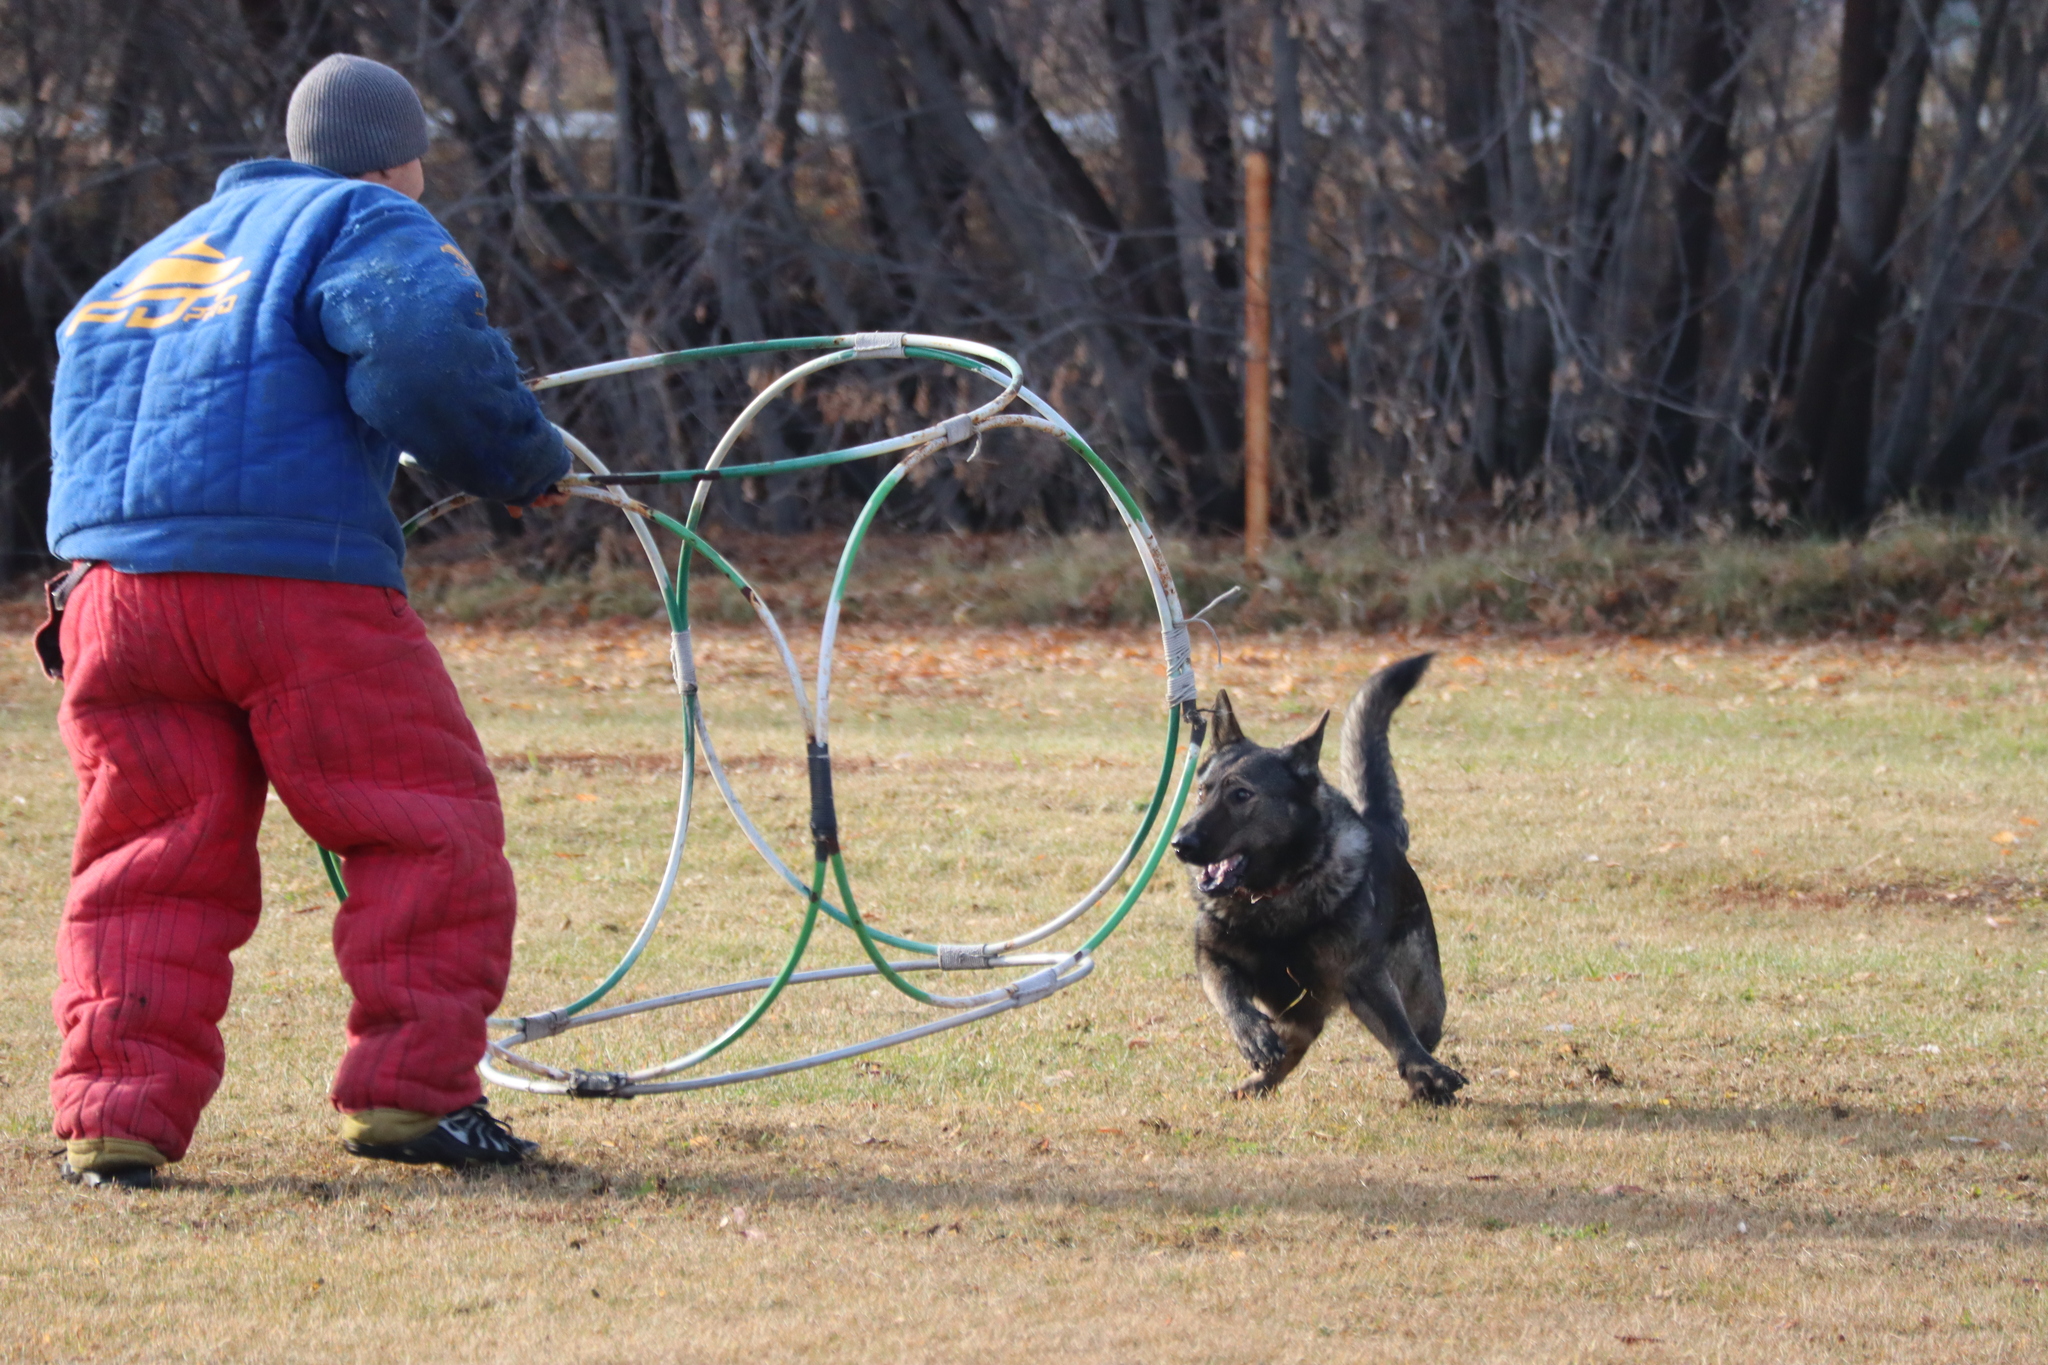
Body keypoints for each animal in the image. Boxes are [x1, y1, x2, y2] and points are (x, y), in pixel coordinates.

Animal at [1163, 654, 1466, 1105]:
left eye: (1241, 795)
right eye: (1201, 792)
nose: (1180, 844)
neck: (1271, 897)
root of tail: (1379, 826)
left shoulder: (1363, 978)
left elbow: (1398, 1032)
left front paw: (1425, 1071)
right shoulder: (1213, 956)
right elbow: (1229, 996)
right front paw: (1252, 1034)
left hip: (1422, 1000)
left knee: (1410, 1029)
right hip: (1298, 1008)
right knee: (1297, 1039)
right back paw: (1258, 1080)